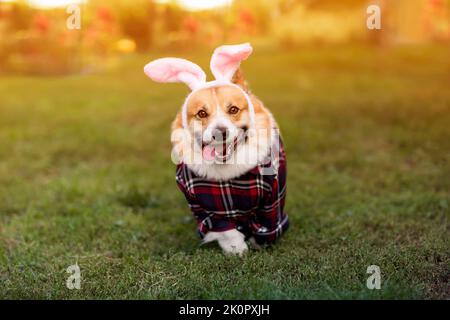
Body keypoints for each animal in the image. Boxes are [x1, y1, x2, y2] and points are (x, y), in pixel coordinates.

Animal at [144, 43, 288, 256]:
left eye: (233, 110)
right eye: (202, 113)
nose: (220, 132)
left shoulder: (273, 196)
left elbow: (267, 223)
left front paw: (258, 243)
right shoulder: (203, 205)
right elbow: (226, 230)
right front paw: (237, 249)